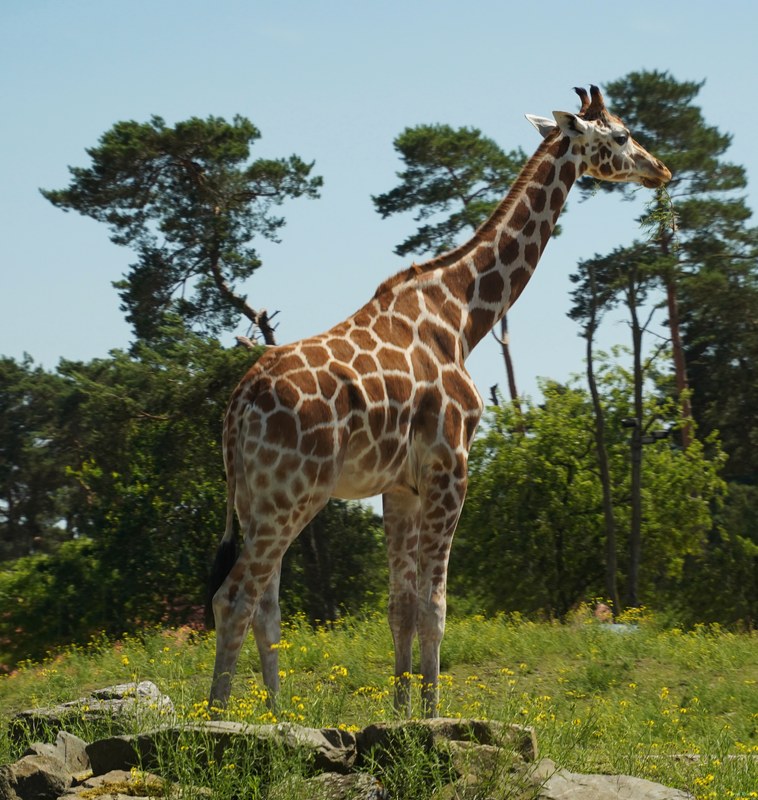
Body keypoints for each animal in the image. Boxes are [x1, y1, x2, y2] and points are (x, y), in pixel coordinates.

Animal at [208, 85, 671, 717]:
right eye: (621, 135)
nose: (661, 170)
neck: (464, 314)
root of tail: (238, 404)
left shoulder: (400, 485)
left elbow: (400, 607)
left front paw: (400, 715)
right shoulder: (451, 465)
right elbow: (436, 605)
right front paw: (431, 717)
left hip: (257, 498)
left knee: (265, 605)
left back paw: (277, 721)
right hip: (293, 494)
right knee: (234, 598)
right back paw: (217, 720)